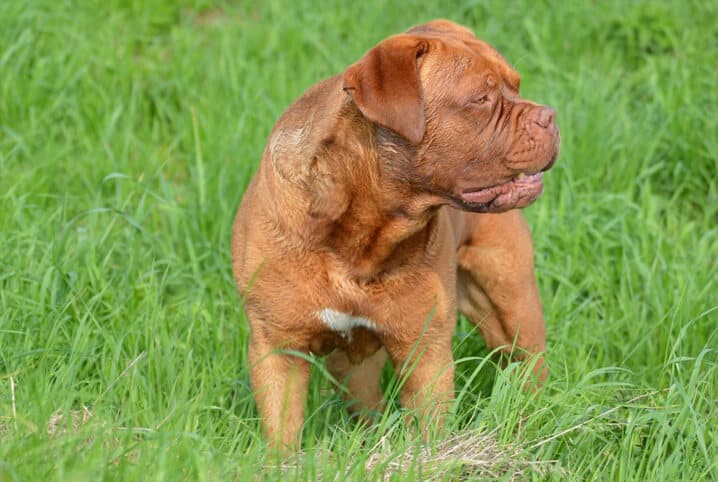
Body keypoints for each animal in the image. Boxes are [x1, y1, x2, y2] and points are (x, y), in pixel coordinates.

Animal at [233, 17, 560, 448]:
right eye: (481, 99)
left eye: (516, 86)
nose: (550, 116)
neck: (364, 231)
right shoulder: (278, 347)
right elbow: (282, 433)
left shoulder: (424, 349)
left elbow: (430, 429)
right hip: (354, 362)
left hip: (512, 303)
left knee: (528, 366)